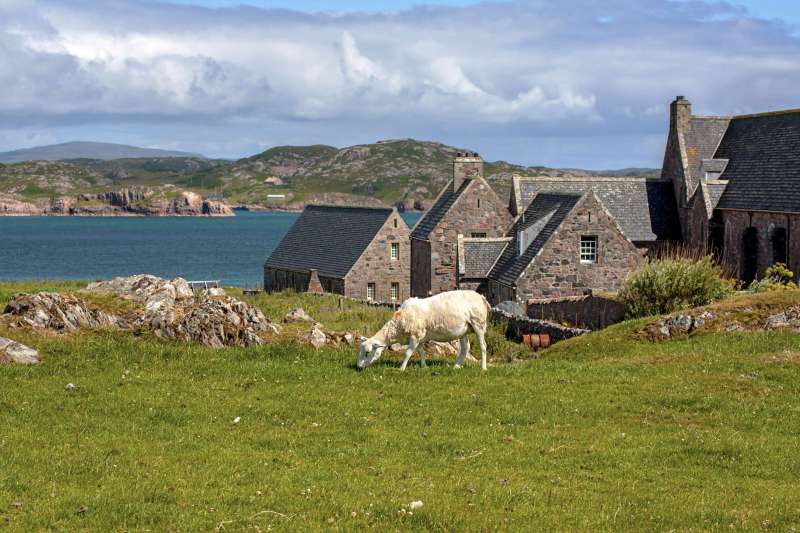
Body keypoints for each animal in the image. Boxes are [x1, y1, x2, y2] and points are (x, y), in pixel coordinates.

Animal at [358, 290, 494, 370]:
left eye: (367, 352)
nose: (358, 367)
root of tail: (481, 297)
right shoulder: (419, 336)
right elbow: (421, 351)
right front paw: (424, 366)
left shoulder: (415, 335)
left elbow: (408, 353)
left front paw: (401, 369)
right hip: (464, 330)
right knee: (465, 348)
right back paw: (456, 366)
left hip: (478, 324)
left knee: (483, 346)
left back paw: (483, 368)